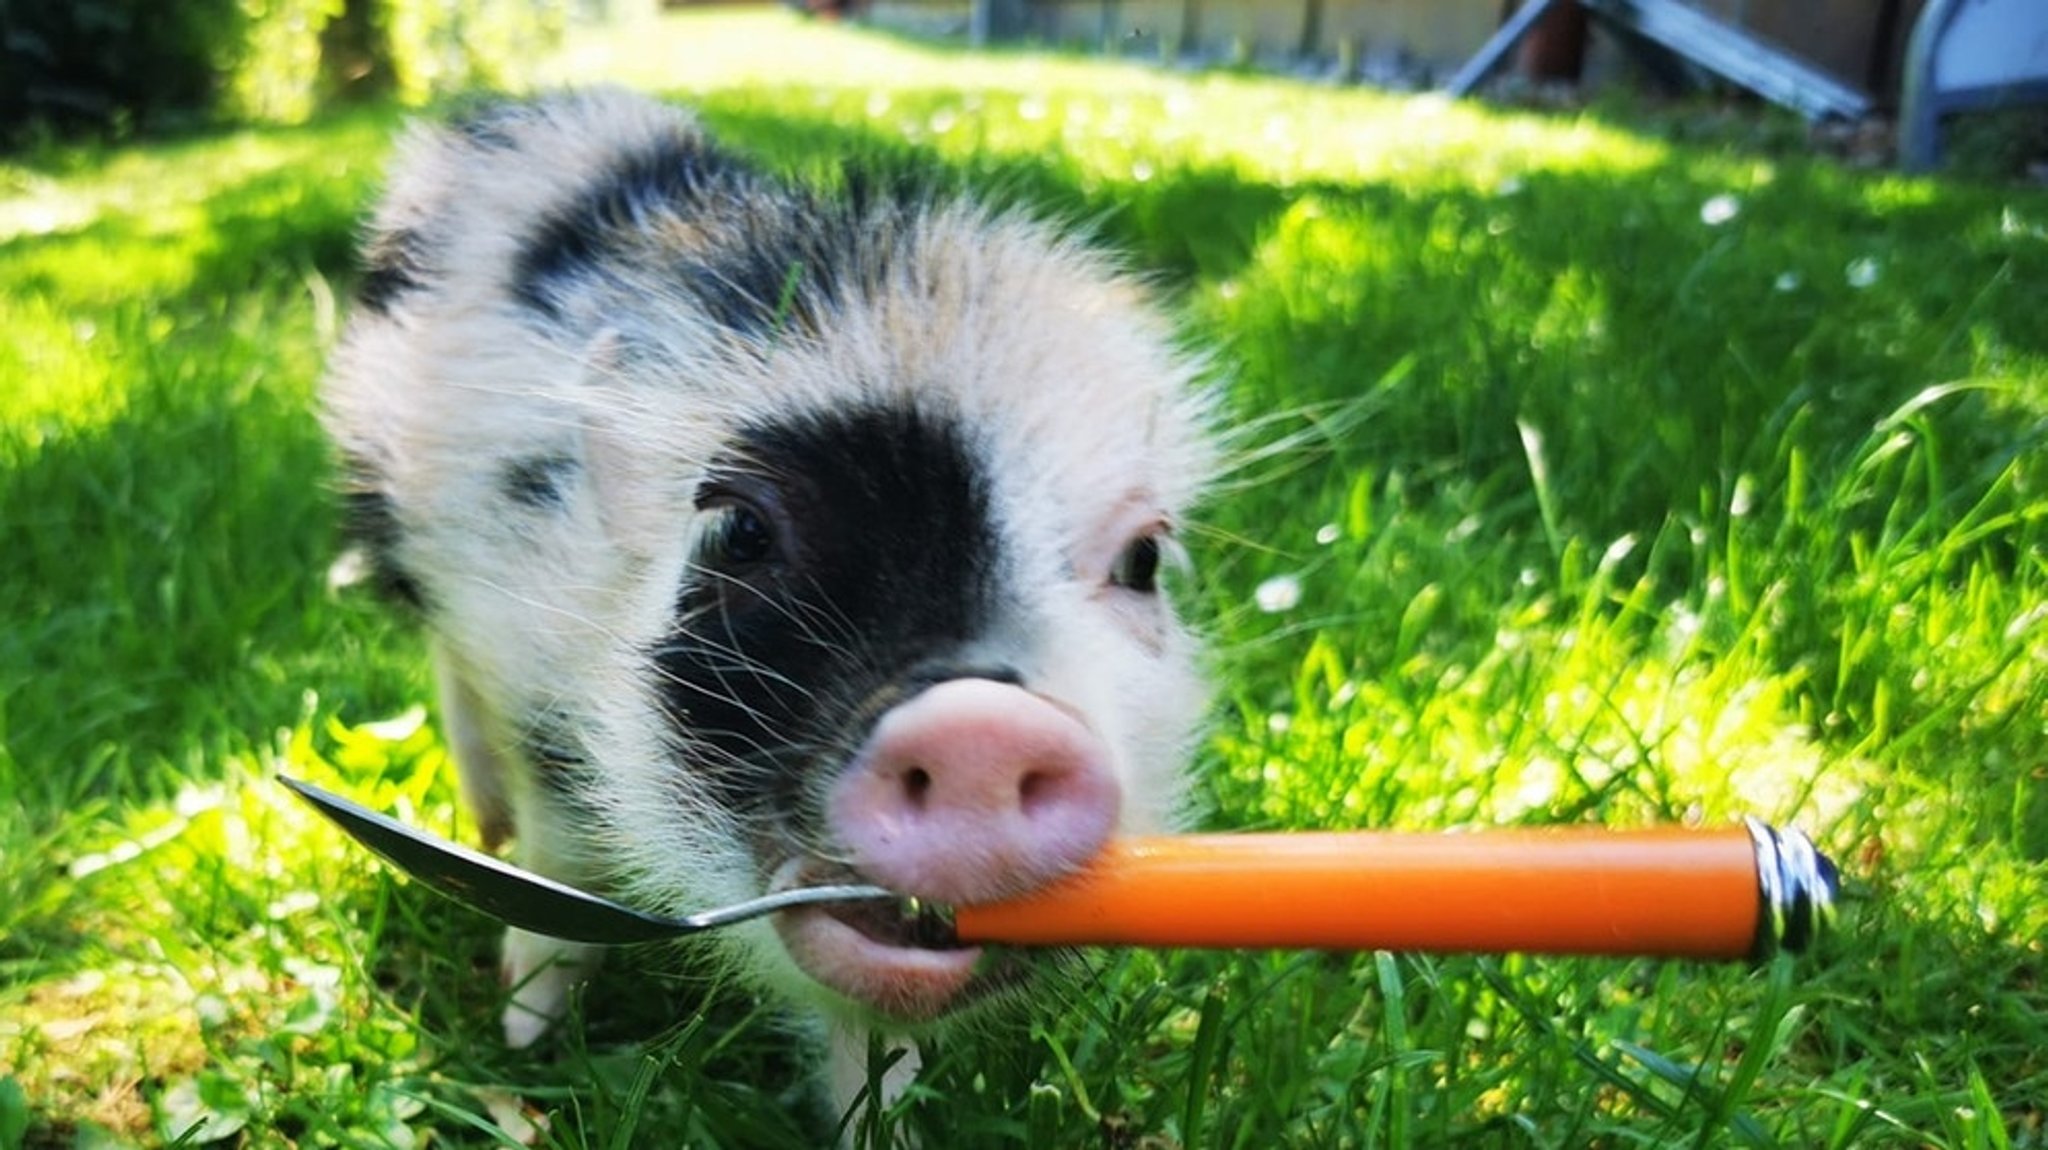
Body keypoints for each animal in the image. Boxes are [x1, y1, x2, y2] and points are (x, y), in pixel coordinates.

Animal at [321, 87, 1212, 1121]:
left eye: (1143, 558)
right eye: (742, 529)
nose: (984, 725)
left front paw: (887, 1121)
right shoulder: (529, 659)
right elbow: (562, 857)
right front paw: (525, 1036)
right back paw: (486, 824)